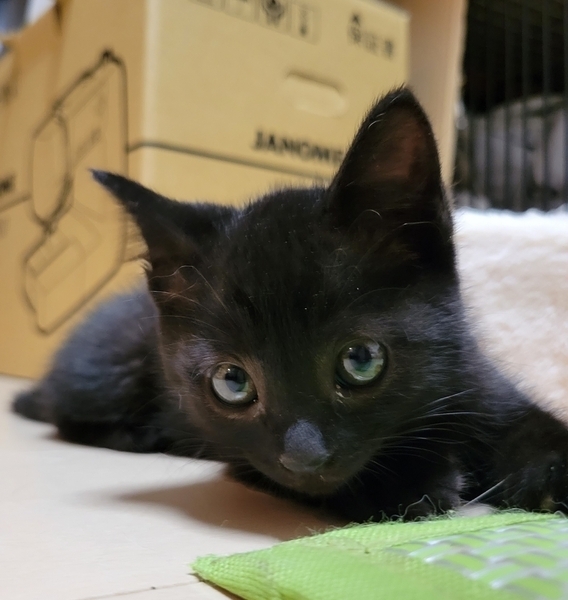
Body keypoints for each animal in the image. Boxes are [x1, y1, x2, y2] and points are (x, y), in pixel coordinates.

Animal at [13, 88, 568, 521]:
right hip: (104, 374)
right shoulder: (247, 458)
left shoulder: (475, 380)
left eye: (361, 359)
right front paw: (409, 485)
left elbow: (527, 423)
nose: (304, 458)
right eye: (232, 382)